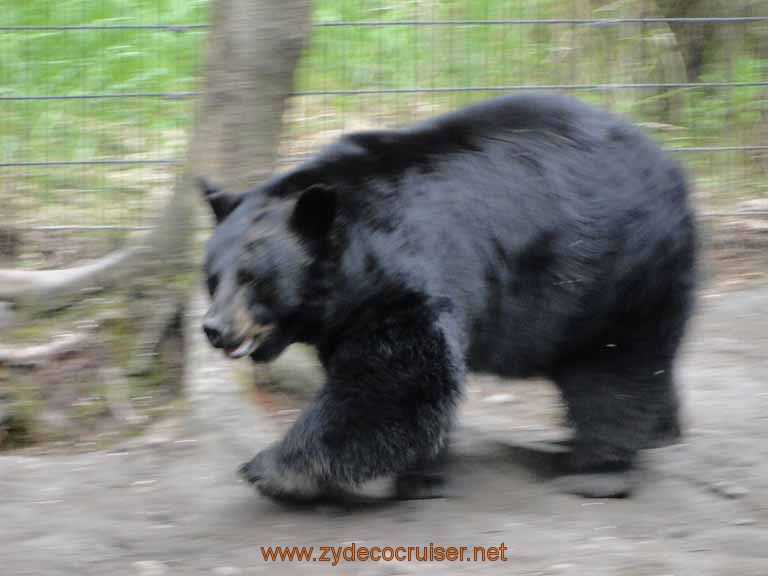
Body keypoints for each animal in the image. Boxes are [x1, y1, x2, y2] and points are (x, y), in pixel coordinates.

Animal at [200, 93, 696, 500]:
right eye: (212, 277)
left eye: (253, 279)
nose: (215, 328)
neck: (353, 254)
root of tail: (672, 168)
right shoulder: (347, 311)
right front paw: (422, 474)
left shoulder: (402, 274)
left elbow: (396, 378)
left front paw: (270, 468)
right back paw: (660, 432)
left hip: (614, 270)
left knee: (612, 368)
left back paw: (599, 470)